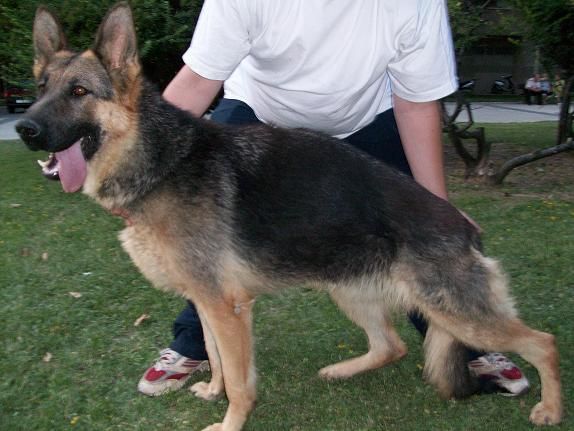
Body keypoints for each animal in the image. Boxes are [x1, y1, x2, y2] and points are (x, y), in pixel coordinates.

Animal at [16, 4, 564, 431]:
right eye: (41, 88)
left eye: (80, 92)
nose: (23, 127)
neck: (160, 159)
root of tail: (466, 230)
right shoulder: (209, 303)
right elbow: (215, 355)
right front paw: (212, 392)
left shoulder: (227, 308)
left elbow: (240, 379)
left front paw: (230, 420)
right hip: (350, 290)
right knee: (391, 345)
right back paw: (341, 371)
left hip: (454, 310)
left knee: (544, 342)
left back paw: (550, 409)